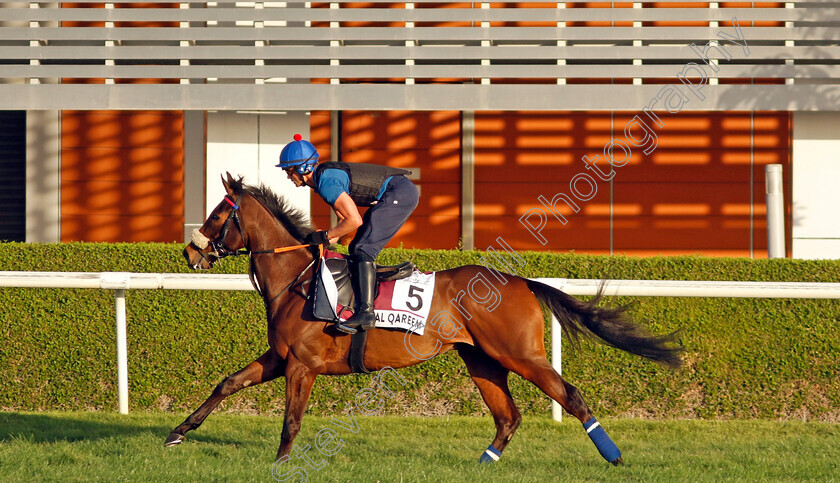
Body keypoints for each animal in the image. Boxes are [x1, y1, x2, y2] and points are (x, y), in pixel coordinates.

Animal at [166, 172, 684, 466]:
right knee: (508, 416)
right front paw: (177, 433)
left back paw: (614, 457)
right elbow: (228, 383)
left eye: (218, 214)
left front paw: (281, 464)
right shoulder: (280, 357)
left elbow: (291, 420)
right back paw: (482, 463)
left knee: (570, 397)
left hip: (519, 354)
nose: (191, 252)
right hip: (482, 360)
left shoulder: (302, 365)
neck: (298, 278)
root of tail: (519, 280)